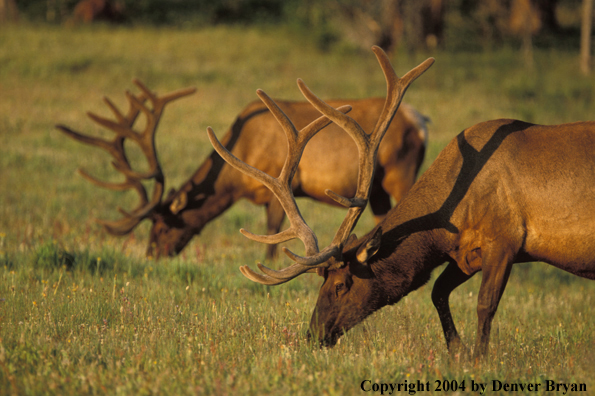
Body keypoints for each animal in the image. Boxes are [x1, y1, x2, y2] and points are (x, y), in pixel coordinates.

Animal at [57, 78, 428, 262]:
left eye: (162, 227)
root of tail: (421, 120)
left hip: (400, 172)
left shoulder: (279, 184)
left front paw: (273, 262)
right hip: (377, 188)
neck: (234, 179)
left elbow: (273, 231)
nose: (152, 255)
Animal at [210, 44, 595, 358]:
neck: (451, 217)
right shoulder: (465, 254)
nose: (313, 335)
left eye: (340, 284)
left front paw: (479, 359)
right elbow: (437, 291)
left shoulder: (505, 239)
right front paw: (457, 350)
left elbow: (485, 305)